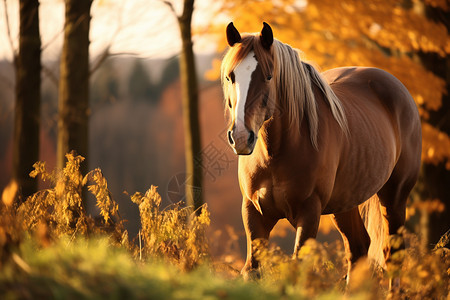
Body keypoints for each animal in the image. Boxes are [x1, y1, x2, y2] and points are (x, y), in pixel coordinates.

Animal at [221, 22, 422, 282]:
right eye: (230, 76)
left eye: (268, 76)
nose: (241, 137)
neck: (276, 154)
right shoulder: (254, 212)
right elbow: (252, 270)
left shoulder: (309, 213)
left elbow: (297, 269)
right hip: (345, 204)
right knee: (358, 248)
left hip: (394, 197)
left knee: (392, 254)